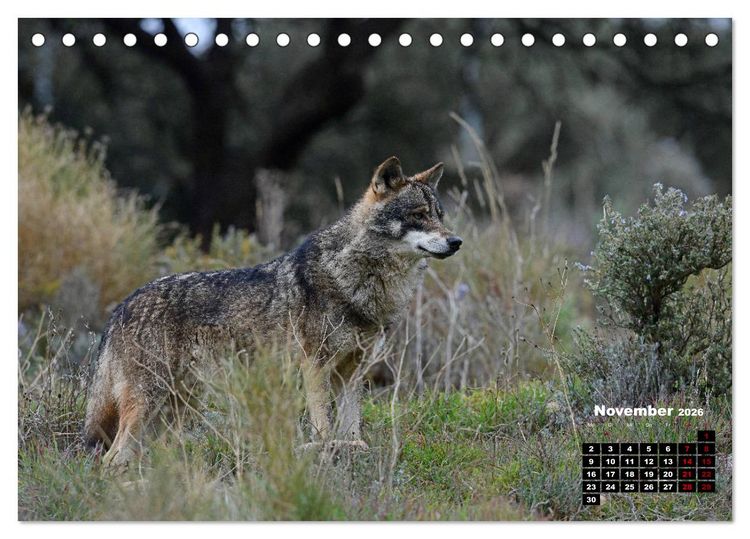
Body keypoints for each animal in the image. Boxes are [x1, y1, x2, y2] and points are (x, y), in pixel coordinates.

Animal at [83, 156, 463, 469]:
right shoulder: (315, 366)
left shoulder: (353, 372)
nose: (456, 241)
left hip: (176, 407)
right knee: (113, 458)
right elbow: (323, 426)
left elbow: (352, 426)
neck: (357, 278)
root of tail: (121, 307)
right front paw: (325, 452)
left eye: (440, 216)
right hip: (152, 402)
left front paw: (352, 449)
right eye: (418, 215)